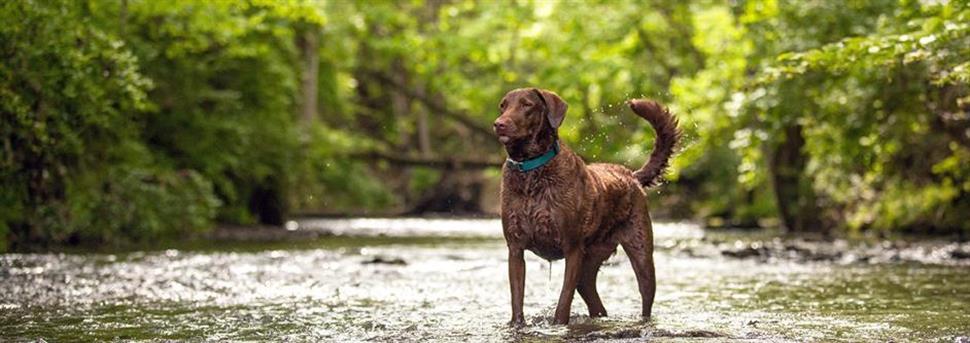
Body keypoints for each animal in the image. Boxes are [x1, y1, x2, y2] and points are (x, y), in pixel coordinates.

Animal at [492, 88, 680, 326]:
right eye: (503, 106)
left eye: (527, 105)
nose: (499, 124)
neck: (531, 172)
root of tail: (632, 175)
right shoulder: (515, 250)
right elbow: (517, 299)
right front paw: (517, 325)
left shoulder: (572, 248)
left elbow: (564, 301)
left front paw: (558, 325)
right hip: (589, 263)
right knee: (594, 300)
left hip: (642, 255)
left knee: (646, 298)